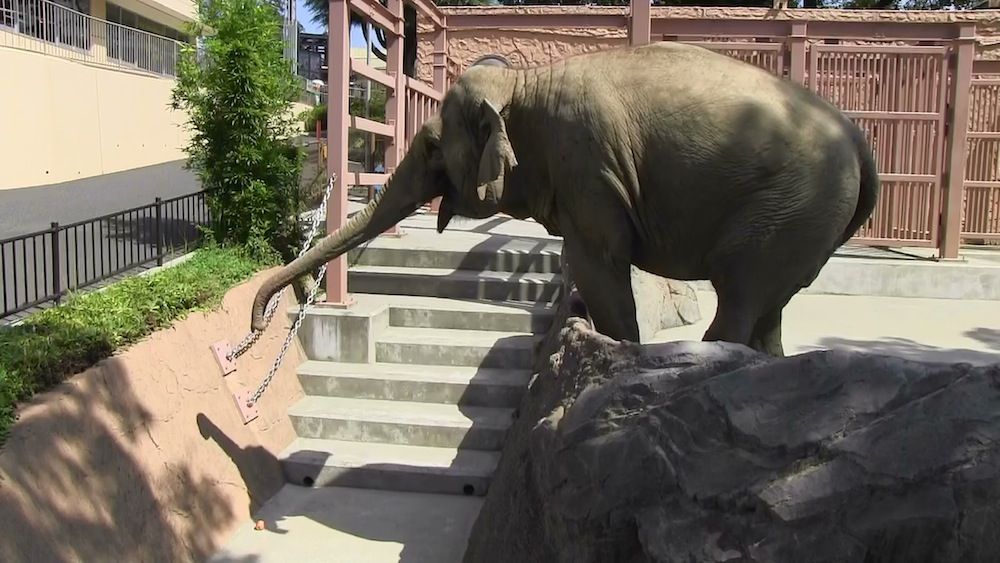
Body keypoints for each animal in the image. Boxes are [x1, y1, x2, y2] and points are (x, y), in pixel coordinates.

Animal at [250, 41, 876, 356]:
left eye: (430, 147)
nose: (258, 324)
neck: (526, 84)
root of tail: (859, 141)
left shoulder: (588, 166)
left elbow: (597, 261)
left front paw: (615, 351)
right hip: (803, 219)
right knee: (770, 306)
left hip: (788, 209)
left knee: (741, 293)